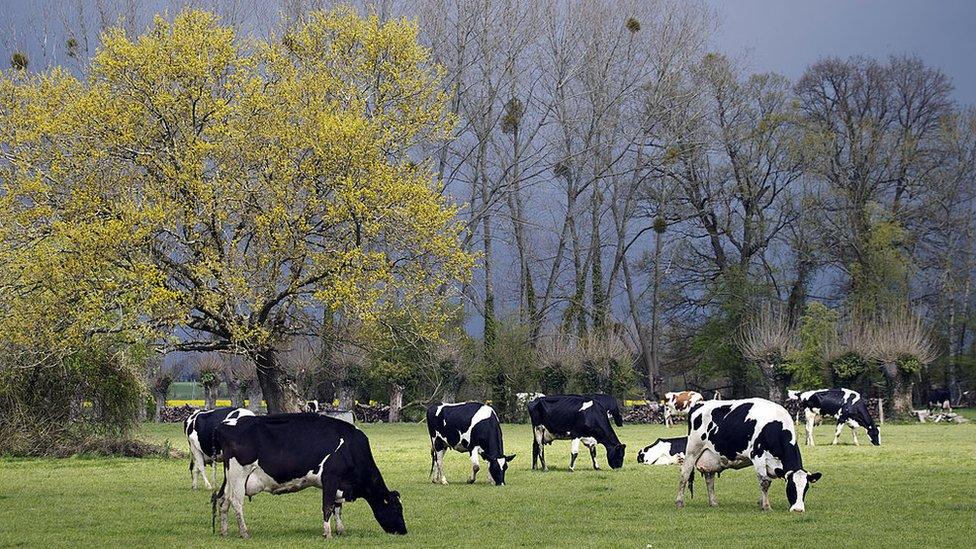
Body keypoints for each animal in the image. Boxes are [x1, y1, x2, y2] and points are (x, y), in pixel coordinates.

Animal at [214, 414, 408, 536]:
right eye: (397, 509)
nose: (404, 531)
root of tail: (225, 425)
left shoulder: (339, 484)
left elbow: (338, 508)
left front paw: (340, 530)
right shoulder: (330, 478)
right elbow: (328, 506)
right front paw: (327, 533)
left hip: (229, 477)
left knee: (222, 499)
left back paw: (224, 532)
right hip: (239, 474)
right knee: (236, 502)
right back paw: (244, 532)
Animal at [676, 398, 820, 510]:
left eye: (806, 488)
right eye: (791, 487)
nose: (798, 509)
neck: (775, 427)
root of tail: (699, 404)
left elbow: (764, 481)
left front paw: (761, 502)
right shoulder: (758, 455)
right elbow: (765, 482)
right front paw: (766, 506)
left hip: (712, 456)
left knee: (709, 479)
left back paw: (713, 503)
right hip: (693, 450)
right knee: (684, 474)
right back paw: (679, 502)